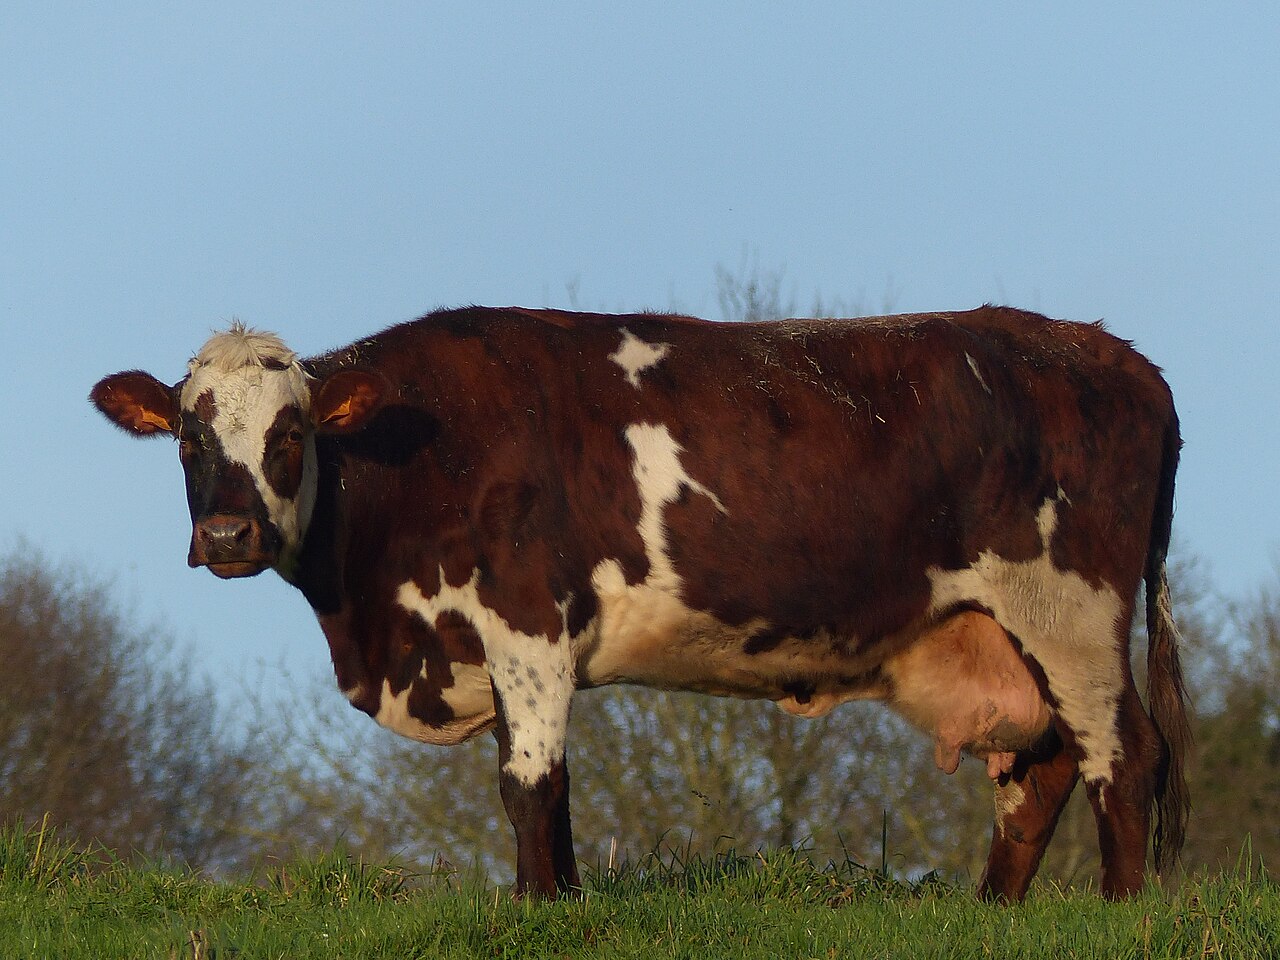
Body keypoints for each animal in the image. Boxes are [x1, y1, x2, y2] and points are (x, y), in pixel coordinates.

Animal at [91, 304, 1190, 900]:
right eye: (188, 437)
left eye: (289, 435)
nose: (228, 538)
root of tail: (1113, 353)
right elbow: (550, 784)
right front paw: (566, 904)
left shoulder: (527, 620)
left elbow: (529, 782)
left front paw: (536, 908)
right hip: (1007, 634)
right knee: (1041, 773)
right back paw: (992, 911)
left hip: (1071, 611)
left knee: (1125, 756)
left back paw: (1114, 910)